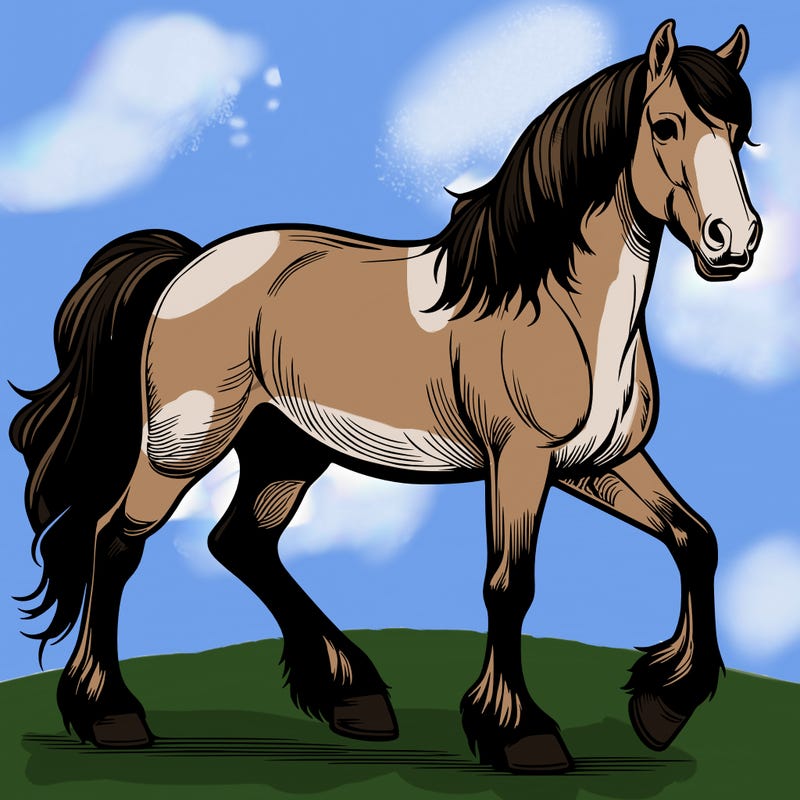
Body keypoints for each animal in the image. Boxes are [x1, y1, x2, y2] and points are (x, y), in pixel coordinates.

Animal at [10, 20, 760, 773]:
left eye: (739, 133)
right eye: (665, 126)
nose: (735, 241)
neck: (554, 304)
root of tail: (188, 263)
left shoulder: (597, 463)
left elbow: (696, 539)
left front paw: (663, 708)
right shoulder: (519, 461)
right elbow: (509, 584)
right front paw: (521, 734)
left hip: (286, 449)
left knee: (242, 542)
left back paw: (354, 698)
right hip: (183, 444)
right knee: (115, 540)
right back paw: (111, 715)